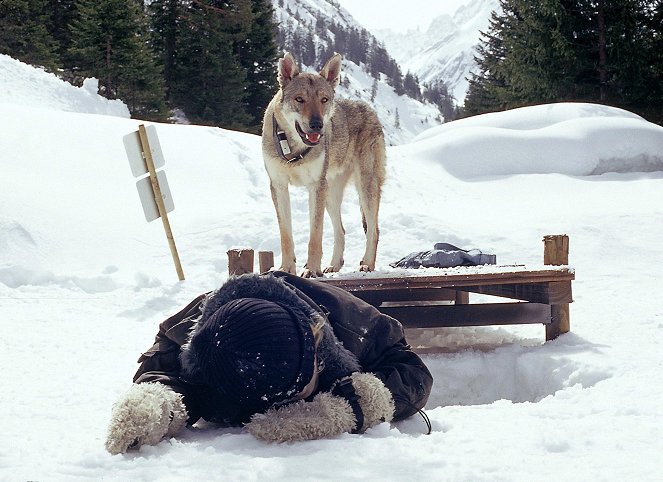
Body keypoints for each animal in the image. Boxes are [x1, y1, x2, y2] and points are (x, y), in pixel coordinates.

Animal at [262, 51, 386, 278]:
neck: (293, 150)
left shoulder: (315, 187)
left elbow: (315, 236)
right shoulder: (279, 186)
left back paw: (367, 264)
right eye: (299, 99)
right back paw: (334, 265)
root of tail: (369, 110)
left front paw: (311, 270)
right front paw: (286, 269)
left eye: (324, 100)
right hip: (330, 194)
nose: (317, 125)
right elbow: (286, 236)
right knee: (341, 230)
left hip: (365, 188)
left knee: (374, 230)